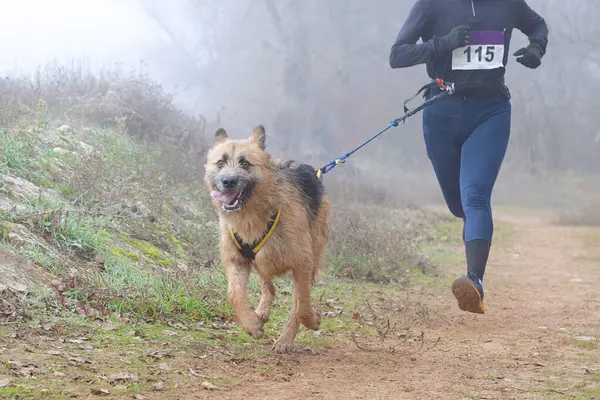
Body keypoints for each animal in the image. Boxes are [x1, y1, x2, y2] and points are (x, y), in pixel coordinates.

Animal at [204, 125, 330, 354]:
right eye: (220, 162)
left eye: (245, 163)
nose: (228, 182)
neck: (252, 216)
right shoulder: (237, 261)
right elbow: (234, 294)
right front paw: (251, 324)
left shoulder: (302, 263)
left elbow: (302, 305)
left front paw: (312, 321)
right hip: (261, 261)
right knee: (268, 285)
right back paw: (262, 311)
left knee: (296, 302)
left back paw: (285, 340)